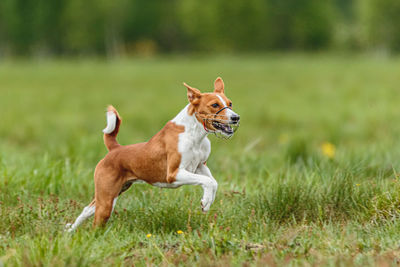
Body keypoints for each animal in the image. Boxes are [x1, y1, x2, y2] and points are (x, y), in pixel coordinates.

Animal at [66, 77, 241, 232]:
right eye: (214, 105)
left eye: (230, 103)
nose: (235, 117)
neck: (194, 134)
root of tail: (115, 149)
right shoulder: (174, 173)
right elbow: (208, 182)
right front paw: (205, 202)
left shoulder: (199, 166)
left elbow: (213, 182)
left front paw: (207, 202)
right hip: (107, 201)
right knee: (95, 223)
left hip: (111, 193)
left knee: (86, 210)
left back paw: (70, 230)